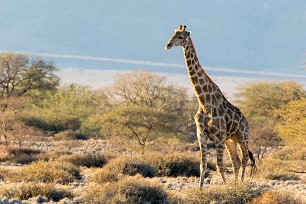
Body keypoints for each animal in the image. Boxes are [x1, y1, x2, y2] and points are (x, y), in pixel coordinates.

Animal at [165, 25, 256, 188]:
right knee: (236, 162)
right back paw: (235, 184)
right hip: (230, 140)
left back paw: (240, 184)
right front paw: (200, 189)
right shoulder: (201, 134)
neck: (204, 101)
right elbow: (203, 165)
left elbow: (220, 166)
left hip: (243, 137)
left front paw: (225, 187)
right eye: (173, 34)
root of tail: (247, 122)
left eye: (181, 37)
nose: (168, 45)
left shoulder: (218, 137)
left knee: (245, 159)